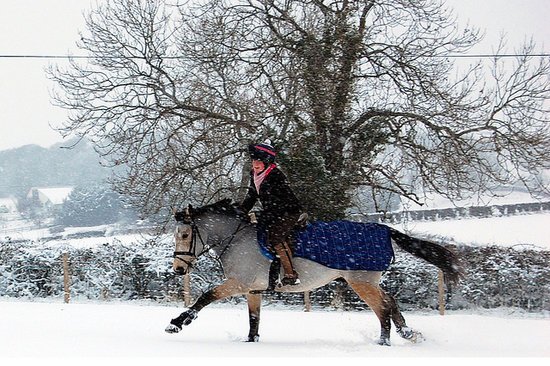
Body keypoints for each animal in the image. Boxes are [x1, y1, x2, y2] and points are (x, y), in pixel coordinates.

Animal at [165, 199, 462, 344]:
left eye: (185, 234)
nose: (178, 269)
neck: (236, 238)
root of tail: (384, 230)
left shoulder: (238, 283)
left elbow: (205, 296)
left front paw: (177, 323)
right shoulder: (252, 290)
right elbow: (254, 320)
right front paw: (251, 341)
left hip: (362, 284)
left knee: (383, 309)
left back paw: (384, 342)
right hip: (369, 283)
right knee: (391, 302)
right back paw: (409, 334)